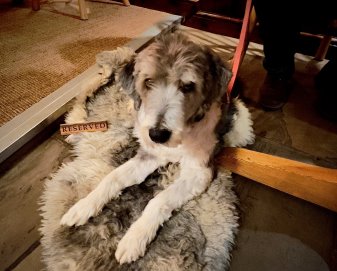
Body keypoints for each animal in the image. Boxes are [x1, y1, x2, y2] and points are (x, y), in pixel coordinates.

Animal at [60, 30, 253, 266]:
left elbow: (159, 199)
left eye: (188, 86)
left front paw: (134, 239)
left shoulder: (199, 172)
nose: (157, 134)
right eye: (148, 81)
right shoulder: (149, 155)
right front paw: (83, 207)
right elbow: (113, 177)